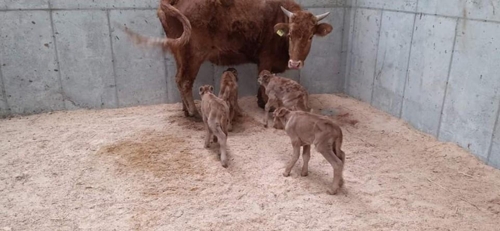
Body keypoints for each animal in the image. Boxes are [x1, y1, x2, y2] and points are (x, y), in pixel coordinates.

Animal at [118, 0, 332, 118]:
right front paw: (265, 104)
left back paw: (185, 110)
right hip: (193, 55)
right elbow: (265, 80)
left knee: (179, 79)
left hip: (180, 53)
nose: (295, 63)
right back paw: (194, 112)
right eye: (290, 35)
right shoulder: (266, 59)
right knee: (185, 81)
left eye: (310, 36)